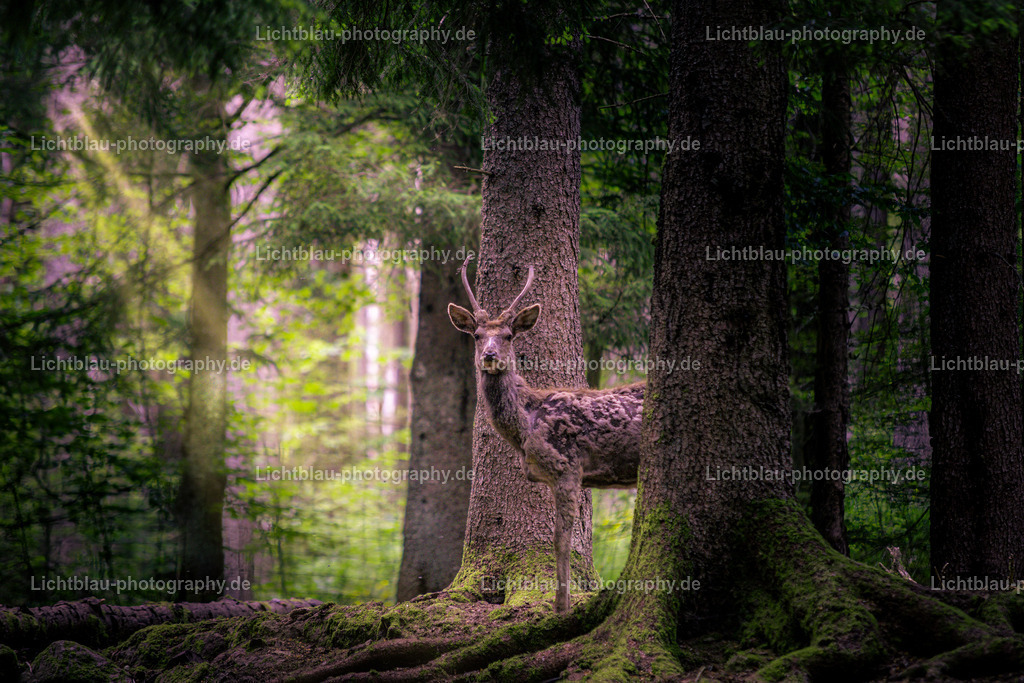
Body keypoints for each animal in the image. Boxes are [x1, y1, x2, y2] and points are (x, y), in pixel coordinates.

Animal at [448, 257, 643, 612]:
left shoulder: (567, 467)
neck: (526, 425)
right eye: (478, 335)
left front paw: (561, 606)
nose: (490, 356)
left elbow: (561, 541)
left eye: (509, 335)